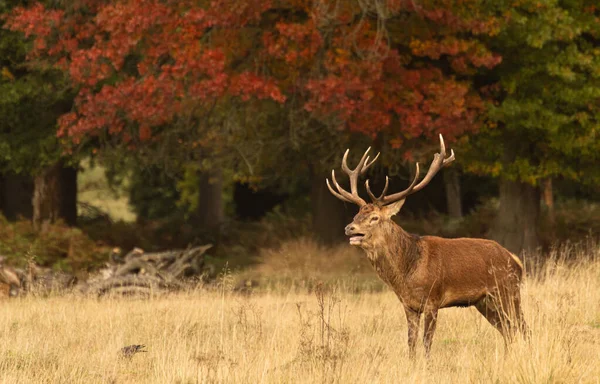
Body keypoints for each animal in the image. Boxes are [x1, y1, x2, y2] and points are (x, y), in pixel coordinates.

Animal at [326, 134, 528, 356]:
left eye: (374, 218)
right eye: (356, 214)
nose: (349, 228)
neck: (407, 273)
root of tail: (515, 260)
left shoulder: (433, 299)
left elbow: (427, 342)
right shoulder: (409, 305)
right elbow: (411, 342)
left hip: (509, 291)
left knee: (523, 327)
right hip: (484, 301)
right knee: (507, 330)